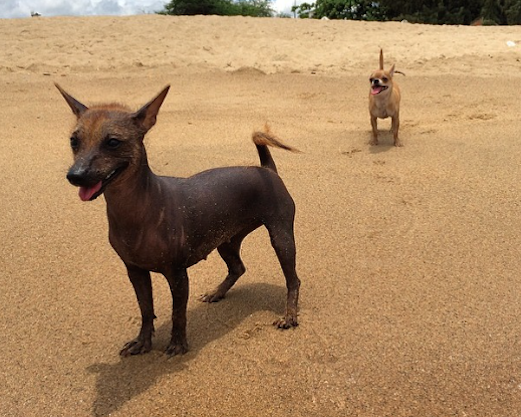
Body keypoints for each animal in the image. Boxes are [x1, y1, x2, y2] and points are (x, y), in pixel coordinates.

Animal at [55, 83, 300, 354]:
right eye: (74, 141)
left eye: (113, 142)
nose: (75, 175)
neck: (136, 210)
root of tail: (266, 169)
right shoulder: (135, 271)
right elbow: (145, 309)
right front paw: (142, 341)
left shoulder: (178, 275)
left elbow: (177, 313)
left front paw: (177, 344)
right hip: (226, 240)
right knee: (238, 267)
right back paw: (217, 293)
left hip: (281, 237)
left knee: (293, 280)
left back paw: (289, 315)